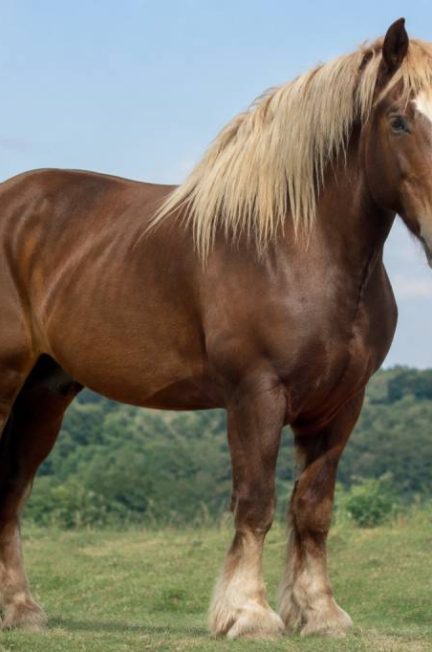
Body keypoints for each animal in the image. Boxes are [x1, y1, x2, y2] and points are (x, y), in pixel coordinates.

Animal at [0, 16, 430, 639]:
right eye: (399, 119)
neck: (296, 246)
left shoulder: (341, 405)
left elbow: (313, 509)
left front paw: (319, 613)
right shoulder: (256, 394)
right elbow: (255, 502)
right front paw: (248, 613)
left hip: (44, 392)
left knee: (11, 489)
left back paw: (20, 608)